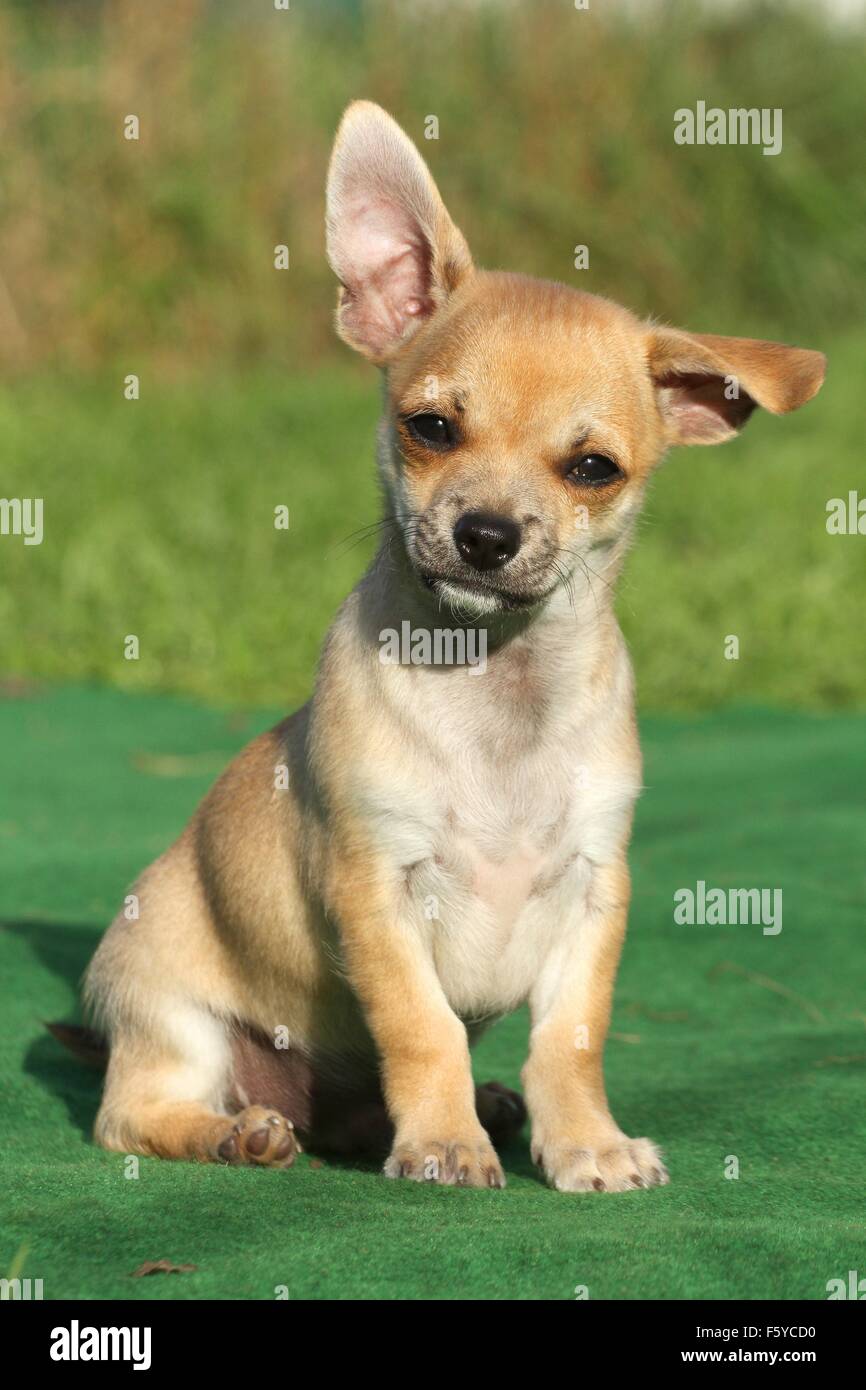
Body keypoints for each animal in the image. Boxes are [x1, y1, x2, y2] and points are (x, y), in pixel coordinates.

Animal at [79, 102, 828, 1189]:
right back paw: (238, 1131)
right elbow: (422, 1025)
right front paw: (440, 1141)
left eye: (593, 468)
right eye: (428, 427)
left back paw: (477, 1105)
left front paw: (585, 1141)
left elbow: (571, 1038)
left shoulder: (594, 890)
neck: (497, 687)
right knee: (132, 1115)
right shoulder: (376, 888)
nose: (484, 533)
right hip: (173, 1016)